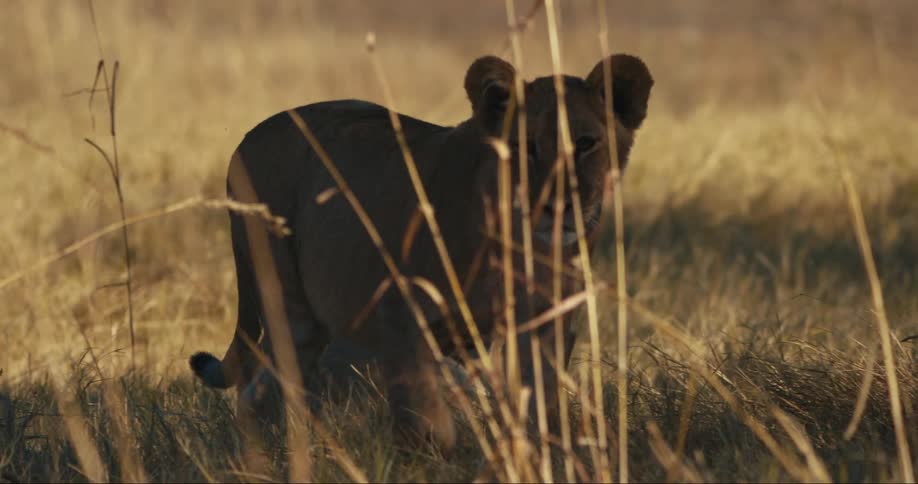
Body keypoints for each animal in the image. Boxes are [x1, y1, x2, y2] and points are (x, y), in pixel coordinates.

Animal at [189, 53, 652, 453]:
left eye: (587, 143)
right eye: (526, 146)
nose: (557, 205)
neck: (521, 245)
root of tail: (247, 139)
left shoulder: (545, 326)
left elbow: (539, 410)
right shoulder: (398, 313)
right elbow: (426, 420)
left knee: (262, 389)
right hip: (288, 301)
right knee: (261, 389)